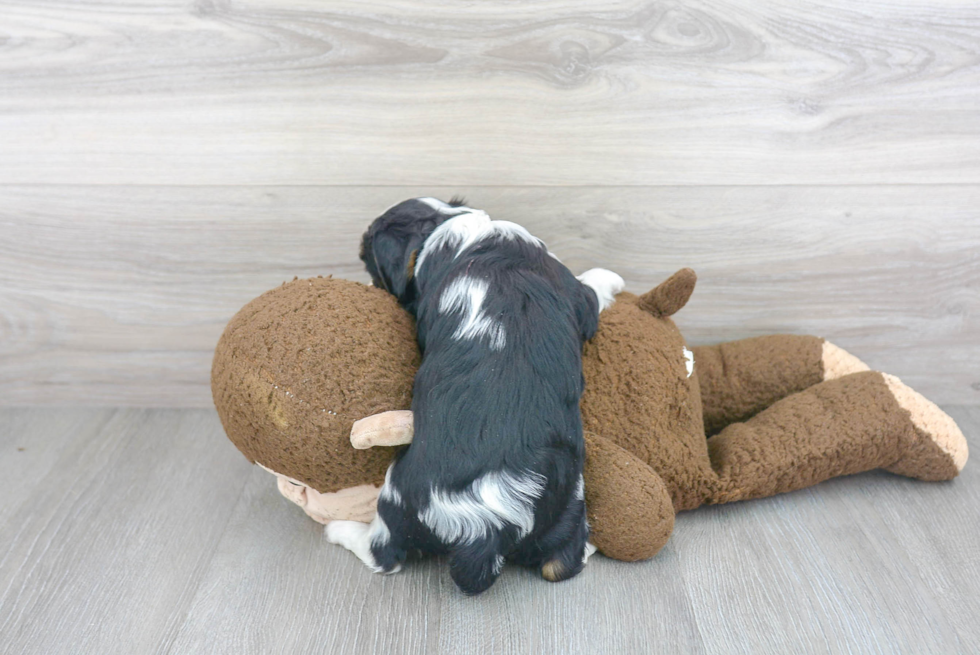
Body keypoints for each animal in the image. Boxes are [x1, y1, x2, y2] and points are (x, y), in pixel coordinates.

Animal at [326, 196, 624, 596]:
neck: (448, 227)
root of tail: (484, 527)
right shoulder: (574, 293)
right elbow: (591, 285)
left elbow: (593, 284)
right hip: (566, 509)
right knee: (563, 563)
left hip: (398, 503)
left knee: (383, 553)